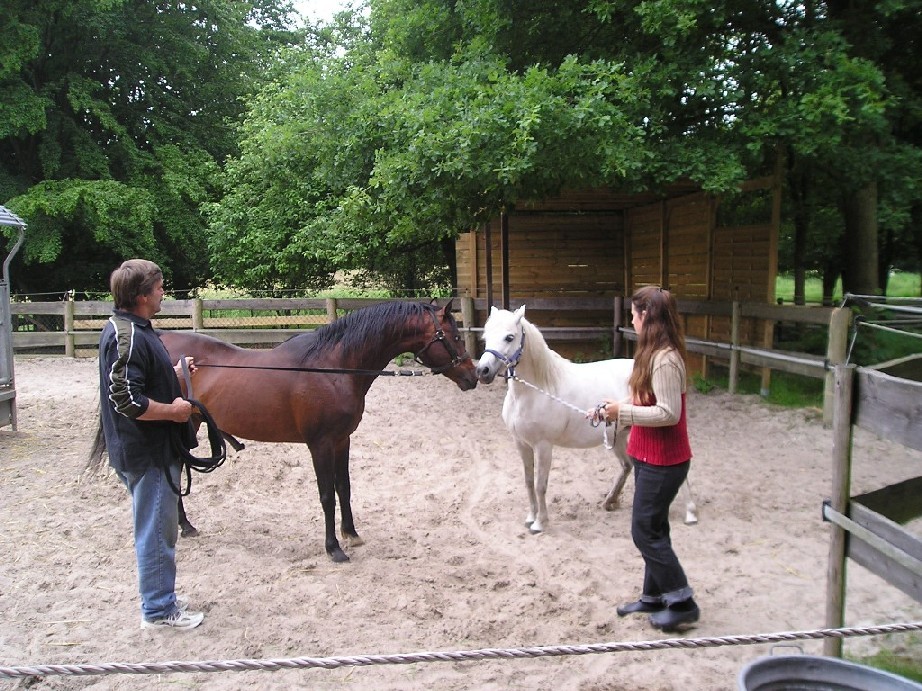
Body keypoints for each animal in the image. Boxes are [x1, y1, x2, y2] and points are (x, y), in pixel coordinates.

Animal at [99, 300, 474, 564]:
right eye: (454, 337)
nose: (473, 376)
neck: (333, 367)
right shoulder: (320, 445)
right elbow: (326, 495)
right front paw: (333, 548)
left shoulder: (342, 441)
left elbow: (344, 489)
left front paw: (351, 533)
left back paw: (185, 526)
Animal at [474, 306, 696, 536]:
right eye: (486, 336)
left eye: (510, 337)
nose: (482, 371)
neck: (537, 390)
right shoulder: (522, 444)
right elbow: (528, 482)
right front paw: (530, 517)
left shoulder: (543, 446)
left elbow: (539, 485)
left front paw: (540, 523)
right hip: (619, 436)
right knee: (627, 466)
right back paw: (610, 501)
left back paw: (689, 512)